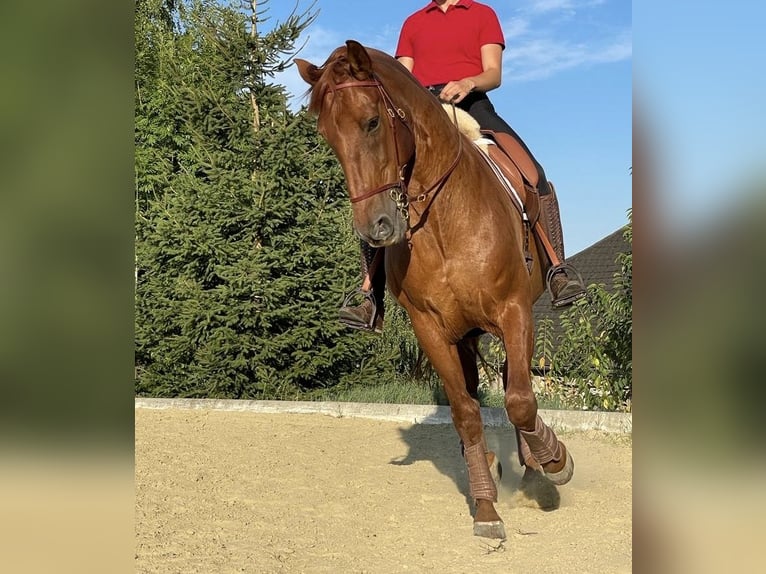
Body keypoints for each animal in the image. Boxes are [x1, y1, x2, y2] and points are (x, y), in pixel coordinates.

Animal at [297, 40, 573, 540]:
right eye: (328, 135)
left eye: (372, 121)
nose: (376, 228)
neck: (445, 220)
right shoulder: (431, 329)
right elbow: (464, 412)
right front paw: (485, 508)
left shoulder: (514, 311)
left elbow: (521, 401)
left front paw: (555, 461)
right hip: (464, 334)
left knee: (515, 385)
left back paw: (534, 468)